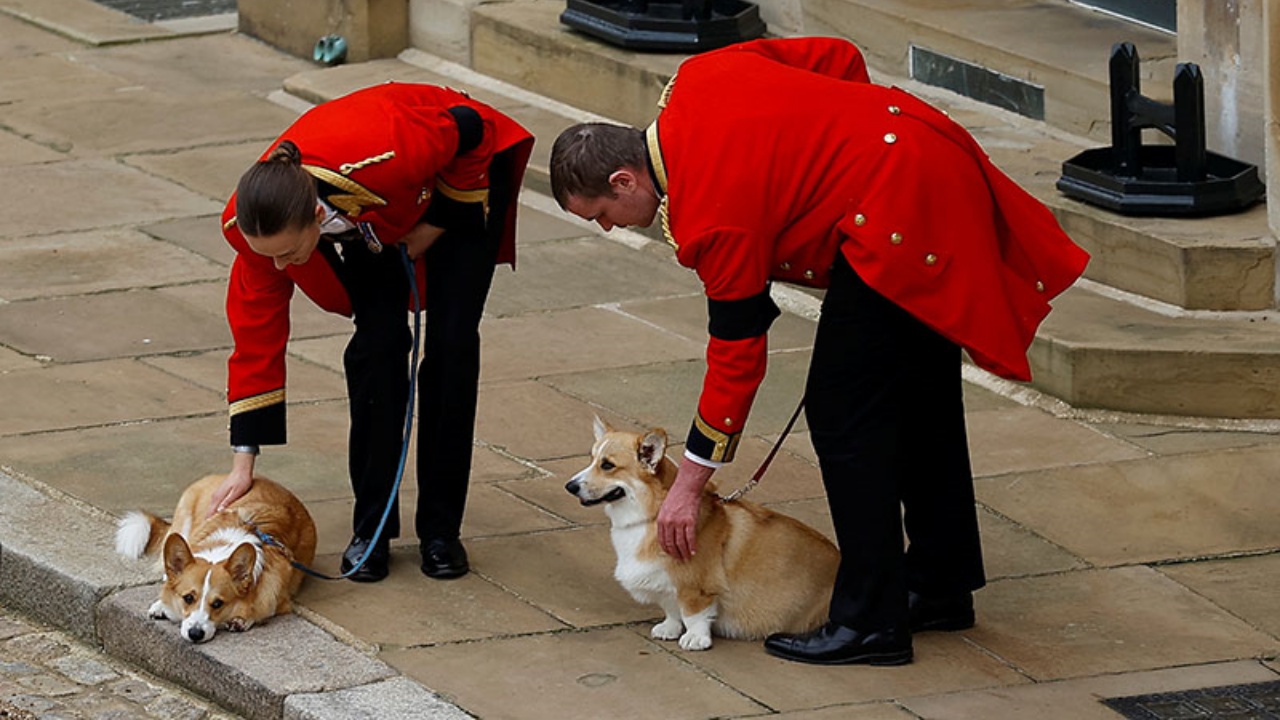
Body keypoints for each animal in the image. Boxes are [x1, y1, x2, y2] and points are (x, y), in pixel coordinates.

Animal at [115, 474, 317, 640]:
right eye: (188, 598)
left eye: (218, 603)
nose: (195, 634)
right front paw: (162, 605)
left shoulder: (278, 599)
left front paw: (242, 620)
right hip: (184, 523)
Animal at [565, 417, 834, 648]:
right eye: (591, 459)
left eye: (607, 465)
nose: (569, 486)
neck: (652, 515)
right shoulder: (665, 583)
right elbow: (672, 609)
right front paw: (669, 628)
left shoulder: (696, 587)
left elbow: (693, 613)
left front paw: (695, 639)